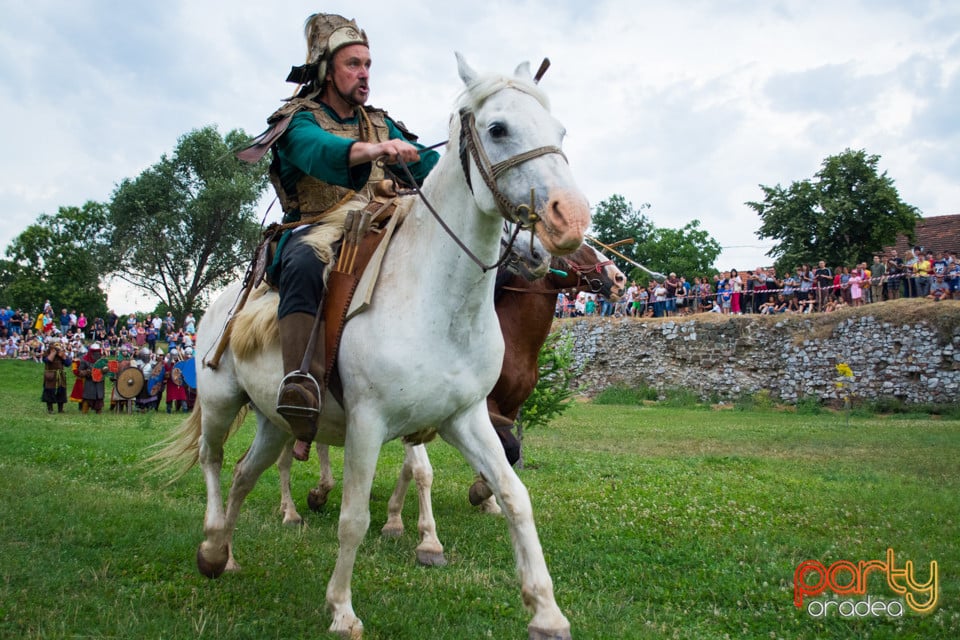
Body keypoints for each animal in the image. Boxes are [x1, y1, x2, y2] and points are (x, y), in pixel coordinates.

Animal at [155, 56, 588, 640]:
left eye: (559, 131)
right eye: (498, 128)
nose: (570, 219)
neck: (435, 301)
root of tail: (219, 304)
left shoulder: (466, 417)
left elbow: (514, 496)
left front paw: (545, 611)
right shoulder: (369, 423)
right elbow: (354, 519)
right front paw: (341, 608)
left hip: (276, 419)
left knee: (247, 473)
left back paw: (224, 552)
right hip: (222, 402)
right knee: (215, 460)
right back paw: (209, 541)